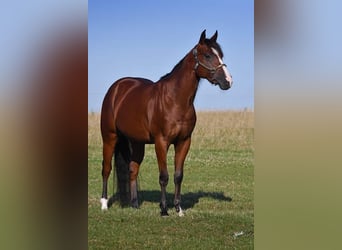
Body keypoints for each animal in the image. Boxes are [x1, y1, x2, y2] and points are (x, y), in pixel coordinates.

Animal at [99, 30, 232, 216]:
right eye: (207, 55)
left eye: (220, 55)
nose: (228, 81)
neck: (175, 100)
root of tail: (116, 88)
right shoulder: (161, 142)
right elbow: (164, 176)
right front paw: (163, 209)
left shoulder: (184, 142)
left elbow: (178, 176)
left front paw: (179, 209)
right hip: (109, 137)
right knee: (106, 168)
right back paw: (104, 204)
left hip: (137, 142)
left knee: (133, 169)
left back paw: (134, 204)